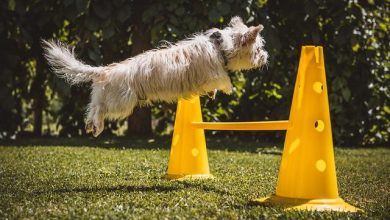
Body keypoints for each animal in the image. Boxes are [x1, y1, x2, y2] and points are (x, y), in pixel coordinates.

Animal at [42, 16, 268, 137]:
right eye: (258, 49)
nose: (265, 57)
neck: (221, 46)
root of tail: (105, 71)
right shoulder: (214, 74)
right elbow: (224, 80)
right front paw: (228, 89)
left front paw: (212, 94)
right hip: (122, 102)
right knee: (100, 109)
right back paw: (96, 126)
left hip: (105, 96)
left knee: (92, 108)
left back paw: (92, 126)